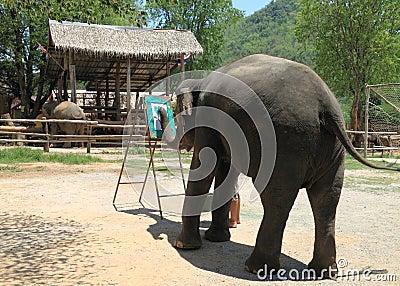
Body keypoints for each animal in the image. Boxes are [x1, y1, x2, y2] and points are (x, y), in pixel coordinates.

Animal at [160, 54, 400, 280]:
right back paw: (322, 272)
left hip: (285, 141)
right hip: (331, 149)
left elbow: (205, 168)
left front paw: (185, 246)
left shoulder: (208, 119)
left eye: (176, 111)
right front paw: (216, 239)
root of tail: (326, 107)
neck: (200, 81)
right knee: (327, 199)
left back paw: (256, 268)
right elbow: (225, 172)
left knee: (277, 200)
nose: (160, 111)